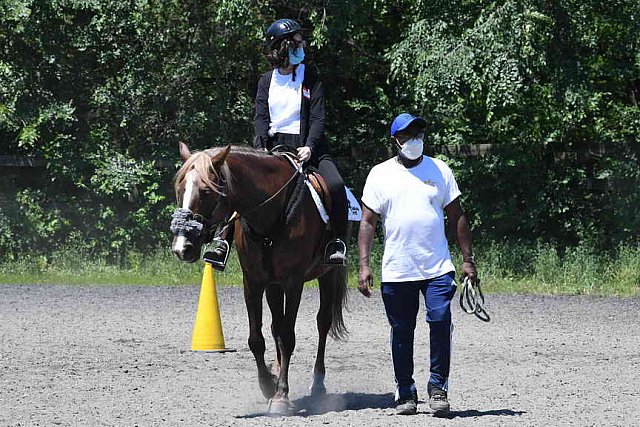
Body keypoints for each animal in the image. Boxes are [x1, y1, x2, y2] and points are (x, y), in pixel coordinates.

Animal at [169, 143, 350, 414]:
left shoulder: (293, 283)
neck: (270, 216)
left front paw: (281, 396)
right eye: (180, 189)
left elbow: (288, 336)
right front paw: (268, 386)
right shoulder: (253, 282)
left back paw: (317, 385)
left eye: (206, 191)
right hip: (273, 286)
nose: (183, 247)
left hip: (328, 275)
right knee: (276, 327)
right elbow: (258, 339)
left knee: (322, 323)